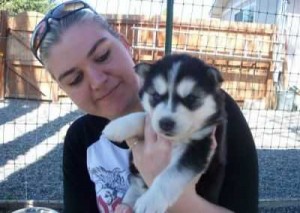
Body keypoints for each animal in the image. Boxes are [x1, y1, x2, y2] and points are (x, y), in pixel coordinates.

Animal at [103, 53, 227, 213]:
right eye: (156, 96)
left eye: (191, 98)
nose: (166, 123)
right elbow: (145, 118)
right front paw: (118, 125)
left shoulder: (200, 146)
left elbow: (171, 174)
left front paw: (151, 200)